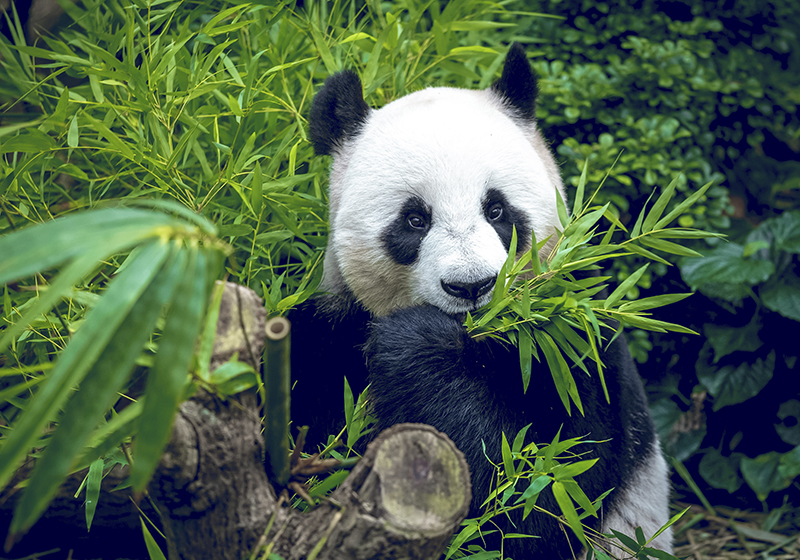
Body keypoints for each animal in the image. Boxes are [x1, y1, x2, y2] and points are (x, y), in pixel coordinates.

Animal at [288, 43, 672, 559]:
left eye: (497, 210)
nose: (471, 286)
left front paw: (413, 345)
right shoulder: (329, 336)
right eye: (414, 219)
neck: (480, 339)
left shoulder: (574, 347)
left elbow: (543, 494)